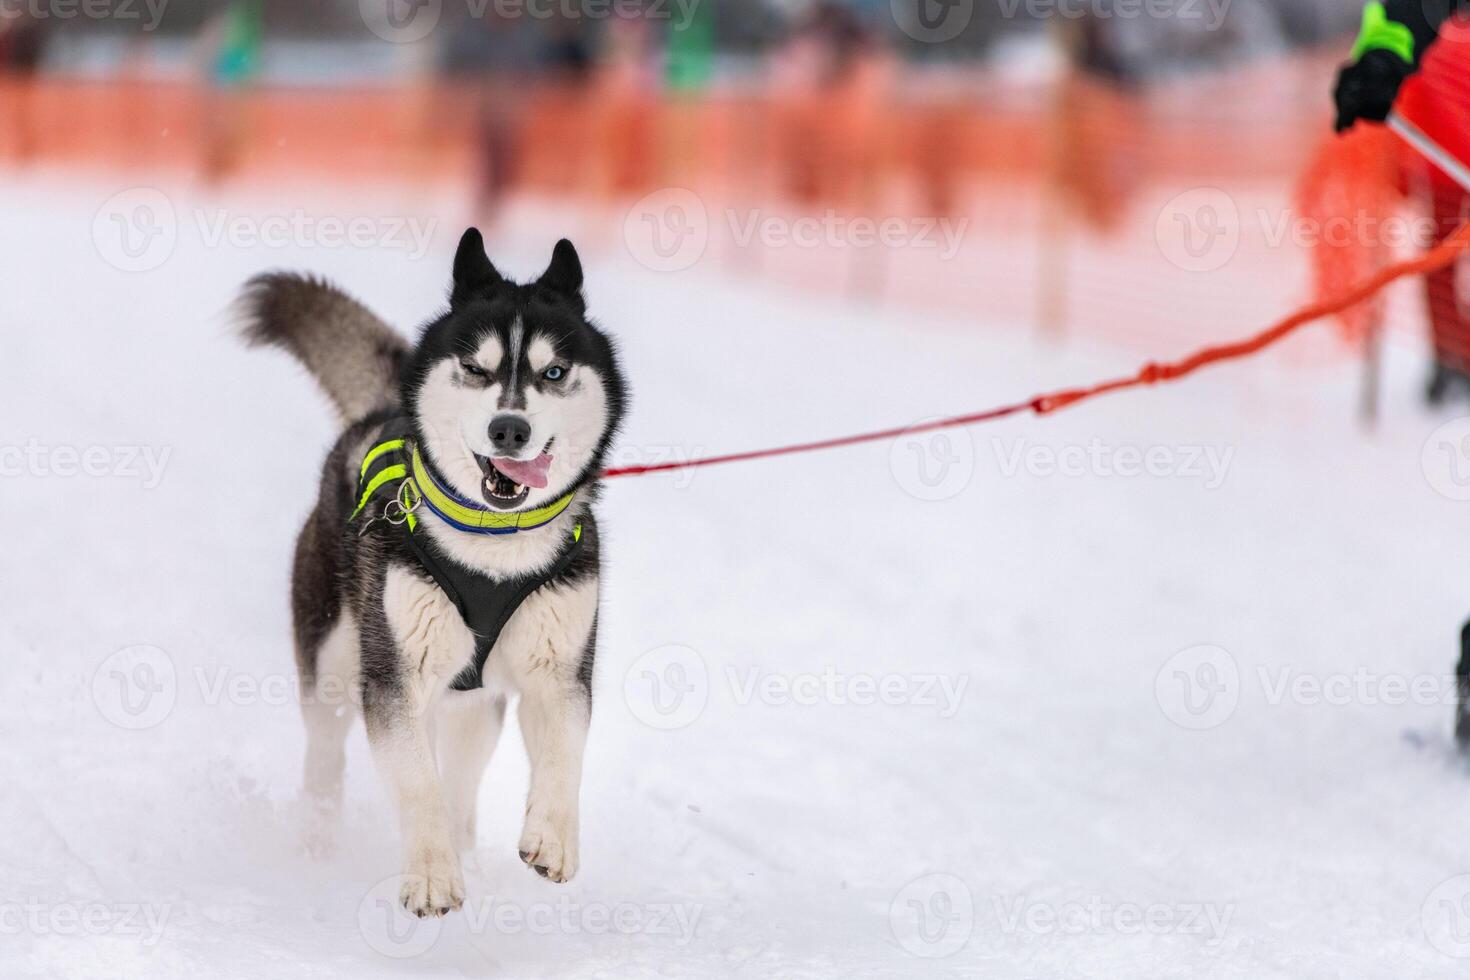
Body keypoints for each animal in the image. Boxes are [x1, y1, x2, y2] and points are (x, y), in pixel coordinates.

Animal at [239, 232, 626, 922]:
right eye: (476, 368)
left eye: (554, 372)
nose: (510, 428)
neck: (495, 548)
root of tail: (379, 409)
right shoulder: (394, 680)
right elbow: (416, 782)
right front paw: (431, 877)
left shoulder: (559, 671)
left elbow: (564, 753)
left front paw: (552, 838)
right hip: (334, 659)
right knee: (326, 754)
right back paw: (318, 841)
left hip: (475, 705)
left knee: (462, 783)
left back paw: (465, 846)